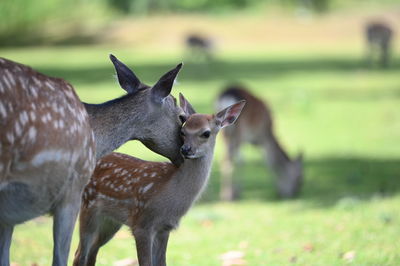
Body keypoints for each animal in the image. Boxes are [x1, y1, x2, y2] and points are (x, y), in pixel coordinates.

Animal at [73, 93, 245, 266]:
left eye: (206, 133)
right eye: (183, 131)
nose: (185, 149)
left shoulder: (164, 227)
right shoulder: (142, 223)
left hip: (110, 221)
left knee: (91, 251)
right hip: (88, 207)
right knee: (79, 254)